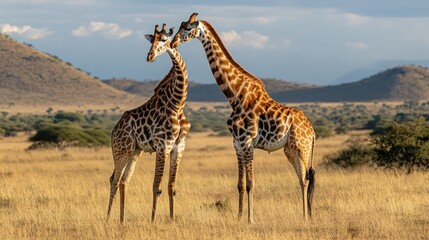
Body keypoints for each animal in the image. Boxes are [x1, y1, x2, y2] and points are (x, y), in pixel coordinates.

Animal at [106, 23, 190, 224]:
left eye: (164, 39)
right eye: (151, 40)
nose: (149, 56)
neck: (177, 104)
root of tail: (114, 131)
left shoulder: (179, 146)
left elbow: (171, 186)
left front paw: (172, 219)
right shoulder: (163, 145)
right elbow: (156, 186)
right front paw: (152, 220)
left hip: (135, 151)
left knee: (124, 180)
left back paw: (122, 220)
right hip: (122, 150)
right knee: (114, 179)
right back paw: (107, 219)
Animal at [172, 13, 316, 223]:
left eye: (187, 28)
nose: (173, 42)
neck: (235, 95)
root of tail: (313, 132)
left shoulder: (247, 142)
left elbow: (250, 184)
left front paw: (250, 219)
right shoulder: (237, 143)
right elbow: (240, 184)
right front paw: (239, 217)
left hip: (300, 147)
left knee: (305, 179)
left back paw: (305, 217)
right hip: (289, 149)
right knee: (302, 177)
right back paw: (305, 215)